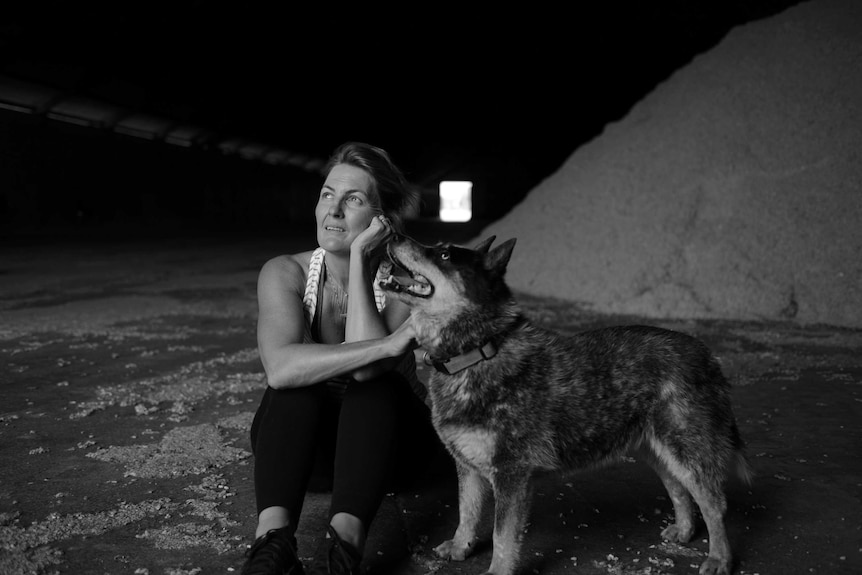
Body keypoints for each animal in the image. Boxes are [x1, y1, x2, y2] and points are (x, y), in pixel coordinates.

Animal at [382, 234, 752, 575]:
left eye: (444, 254)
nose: (394, 234)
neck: (477, 352)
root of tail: (707, 354)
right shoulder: (468, 467)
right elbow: (466, 513)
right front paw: (461, 546)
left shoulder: (511, 474)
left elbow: (502, 536)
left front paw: (497, 570)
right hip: (656, 450)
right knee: (679, 489)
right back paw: (685, 531)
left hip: (686, 450)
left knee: (714, 504)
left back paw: (719, 559)